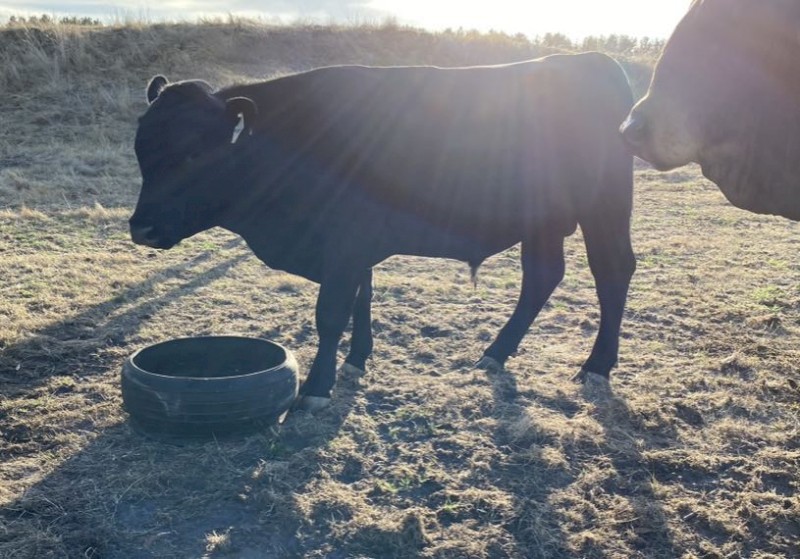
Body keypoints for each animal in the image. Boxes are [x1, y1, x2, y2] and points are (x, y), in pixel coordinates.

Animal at [129, 53, 636, 412]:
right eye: (140, 149)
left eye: (196, 154)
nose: (142, 228)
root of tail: (594, 60)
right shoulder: (356, 249)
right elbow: (363, 298)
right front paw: (357, 359)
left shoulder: (346, 243)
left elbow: (331, 313)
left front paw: (316, 389)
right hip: (543, 220)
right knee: (542, 276)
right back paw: (496, 353)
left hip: (605, 207)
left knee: (612, 272)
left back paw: (596, 366)